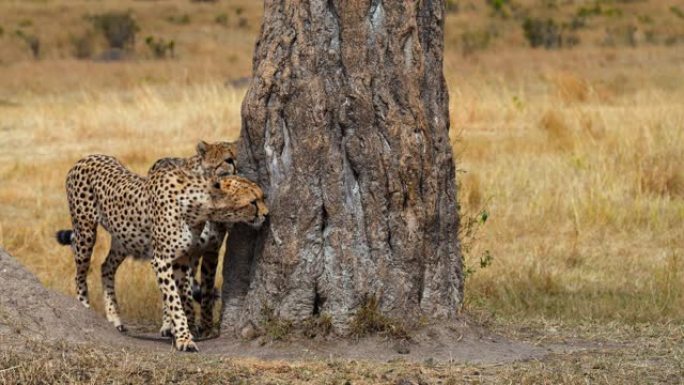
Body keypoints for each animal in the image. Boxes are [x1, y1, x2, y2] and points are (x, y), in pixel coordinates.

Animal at [56, 154, 268, 352]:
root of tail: (87, 157)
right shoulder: (162, 259)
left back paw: (115, 317)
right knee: (80, 274)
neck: (198, 206)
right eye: (253, 202)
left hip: (125, 239)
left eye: (263, 197)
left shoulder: (183, 258)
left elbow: (183, 296)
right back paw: (83, 307)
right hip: (86, 233)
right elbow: (175, 300)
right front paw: (184, 338)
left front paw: (184, 330)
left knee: (106, 266)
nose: (266, 215)